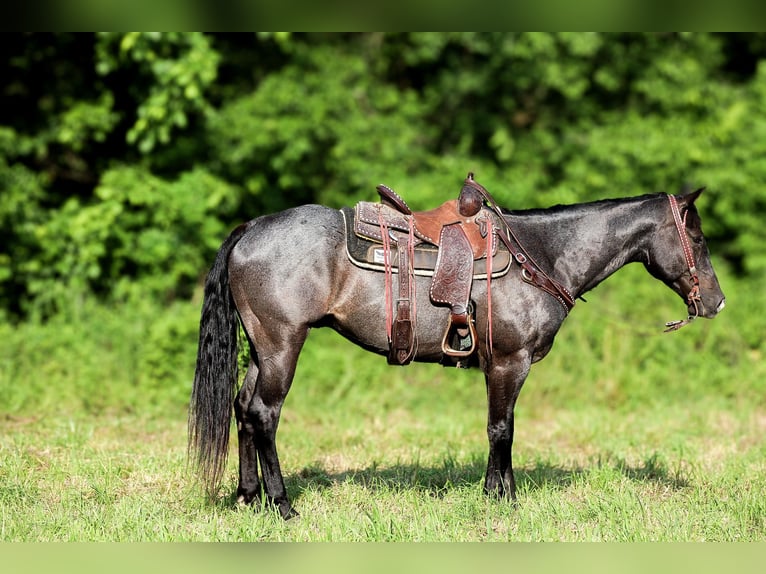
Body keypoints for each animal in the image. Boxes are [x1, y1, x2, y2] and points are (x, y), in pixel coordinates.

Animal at [188, 185, 726, 519]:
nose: (717, 302)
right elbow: (502, 429)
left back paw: (247, 497)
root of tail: (252, 227)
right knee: (265, 414)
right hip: (282, 346)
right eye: (697, 237)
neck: (541, 255)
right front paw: (504, 500)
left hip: (262, 349)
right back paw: (282, 505)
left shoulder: (500, 365)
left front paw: (495, 494)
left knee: (243, 409)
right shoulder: (510, 362)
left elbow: (500, 428)